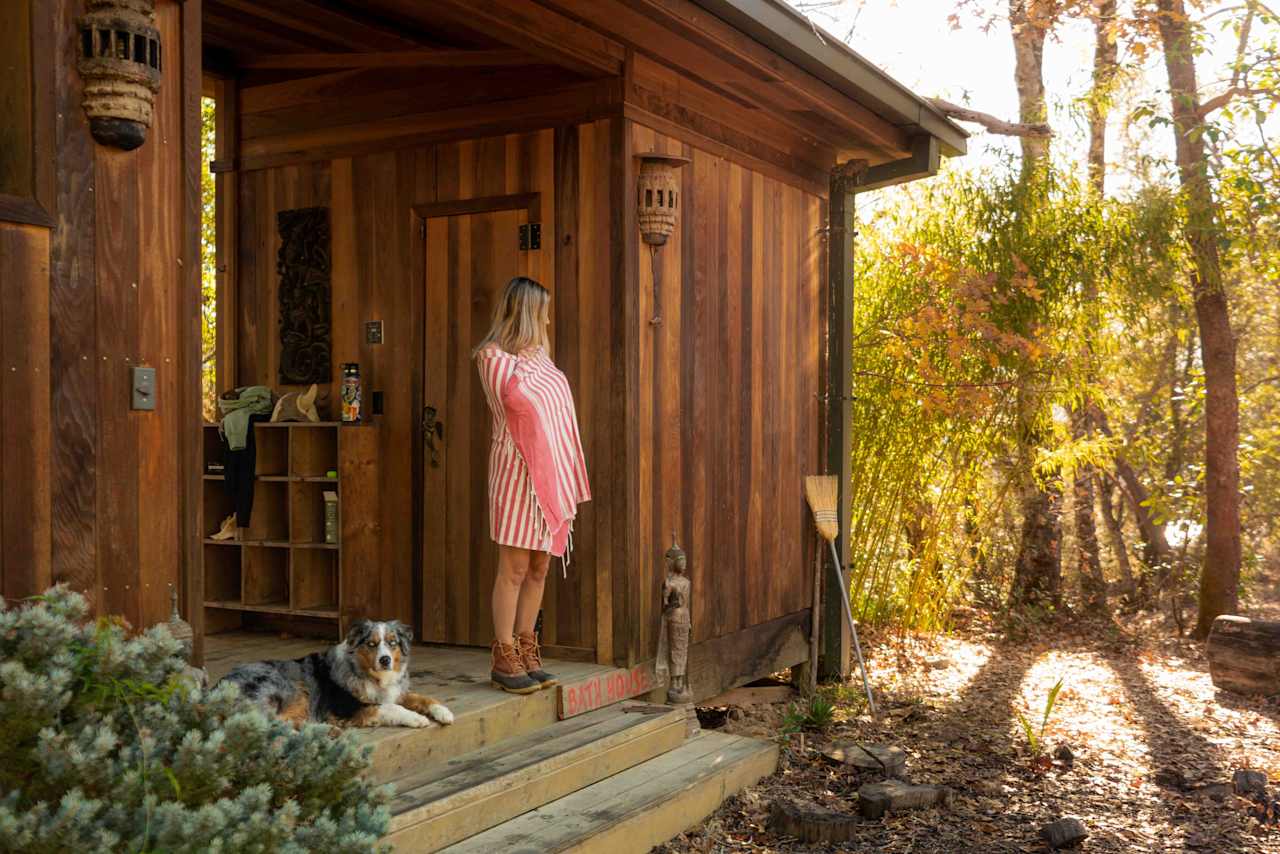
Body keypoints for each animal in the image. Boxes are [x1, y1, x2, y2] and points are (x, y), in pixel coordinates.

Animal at [218, 617, 455, 732]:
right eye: (371, 644)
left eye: (392, 642)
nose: (385, 660)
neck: (369, 675)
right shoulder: (346, 706)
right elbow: (389, 707)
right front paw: (416, 718)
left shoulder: (394, 692)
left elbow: (422, 697)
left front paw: (444, 712)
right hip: (288, 686)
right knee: (271, 725)